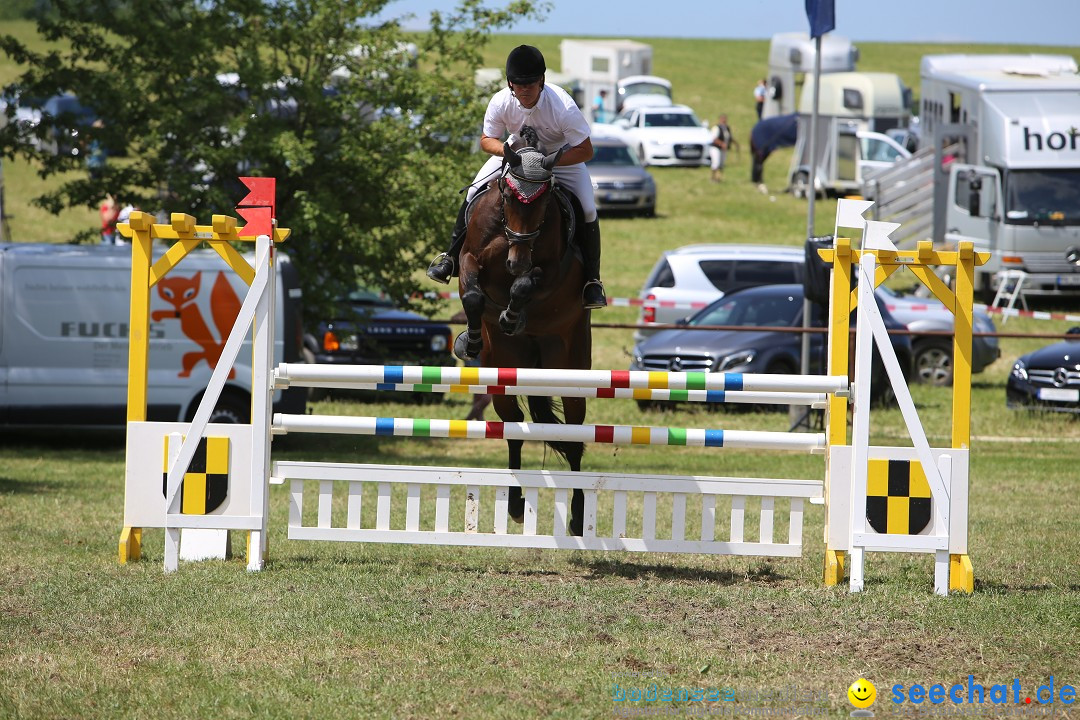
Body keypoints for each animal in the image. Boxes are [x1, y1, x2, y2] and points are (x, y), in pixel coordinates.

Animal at [453, 129, 596, 537]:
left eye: (544, 201)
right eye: (506, 195)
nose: (516, 262)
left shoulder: (550, 271)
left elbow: (525, 285)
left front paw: (512, 314)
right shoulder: (469, 258)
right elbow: (472, 293)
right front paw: (470, 339)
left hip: (571, 365)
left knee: (574, 437)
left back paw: (577, 517)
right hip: (505, 372)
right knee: (513, 425)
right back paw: (515, 504)